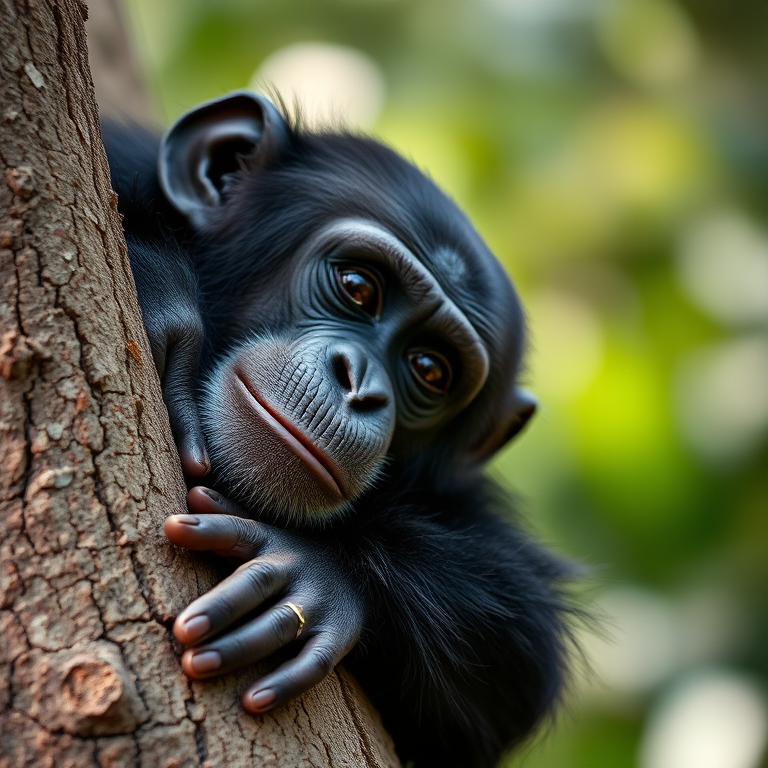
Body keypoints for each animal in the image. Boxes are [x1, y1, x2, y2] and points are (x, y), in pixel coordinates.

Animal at [102, 91, 572, 768]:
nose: (360, 384)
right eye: (357, 287)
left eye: (429, 369)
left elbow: (518, 655)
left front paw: (321, 575)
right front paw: (161, 287)